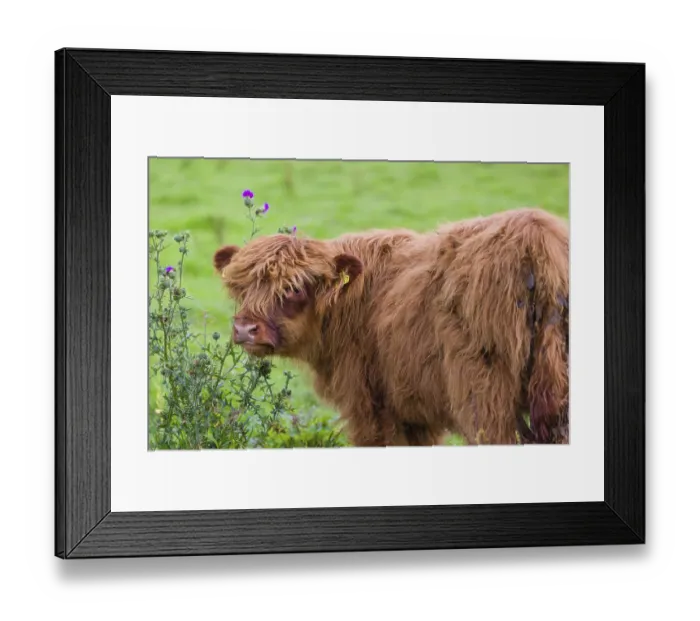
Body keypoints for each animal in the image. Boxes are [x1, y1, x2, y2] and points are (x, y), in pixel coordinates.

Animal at [213, 207, 569, 447]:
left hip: (485, 397)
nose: (245, 329)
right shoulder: (413, 415)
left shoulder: (370, 406)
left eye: (295, 289)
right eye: (242, 288)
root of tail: (535, 237)